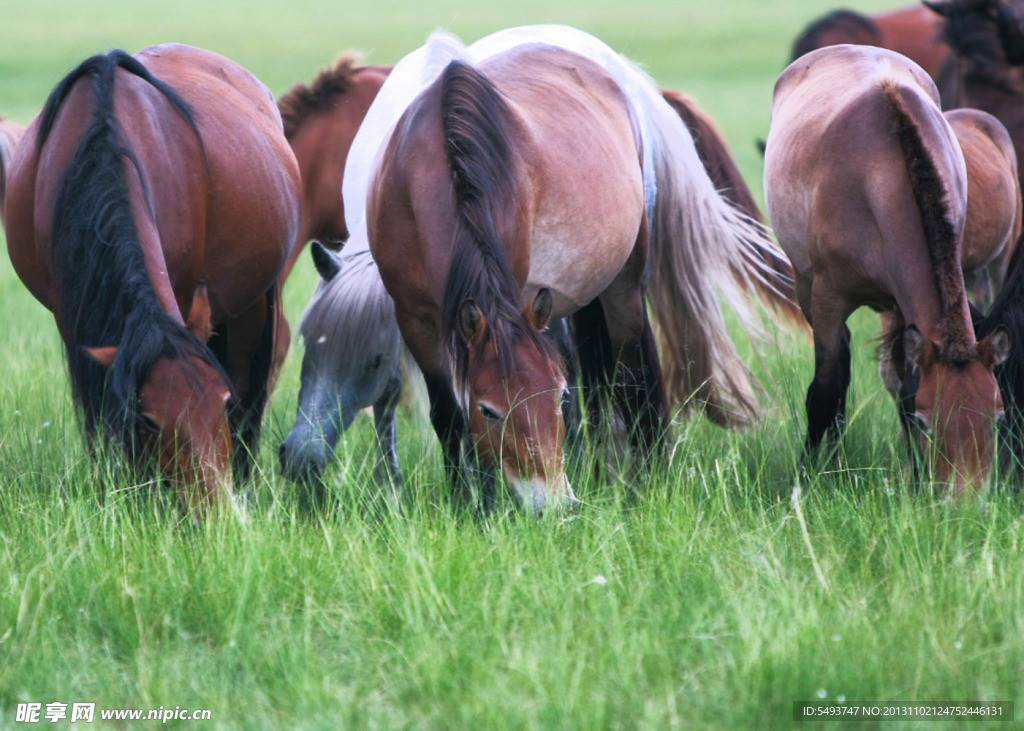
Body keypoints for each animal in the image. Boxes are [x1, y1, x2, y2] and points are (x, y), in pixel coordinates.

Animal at [3, 45, 299, 516]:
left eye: (220, 402)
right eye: (149, 420)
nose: (214, 513)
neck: (100, 141)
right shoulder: (75, 324)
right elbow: (98, 412)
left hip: (253, 306)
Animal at [765, 44, 1011, 489]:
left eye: (997, 419)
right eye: (928, 423)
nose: (966, 498)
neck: (881, 176)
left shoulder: (901, 302)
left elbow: (905, 384)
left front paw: (914, 476)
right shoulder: (827, 299)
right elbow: (824, 391)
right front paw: (808, 475)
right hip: (804, 284)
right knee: (838, 372)